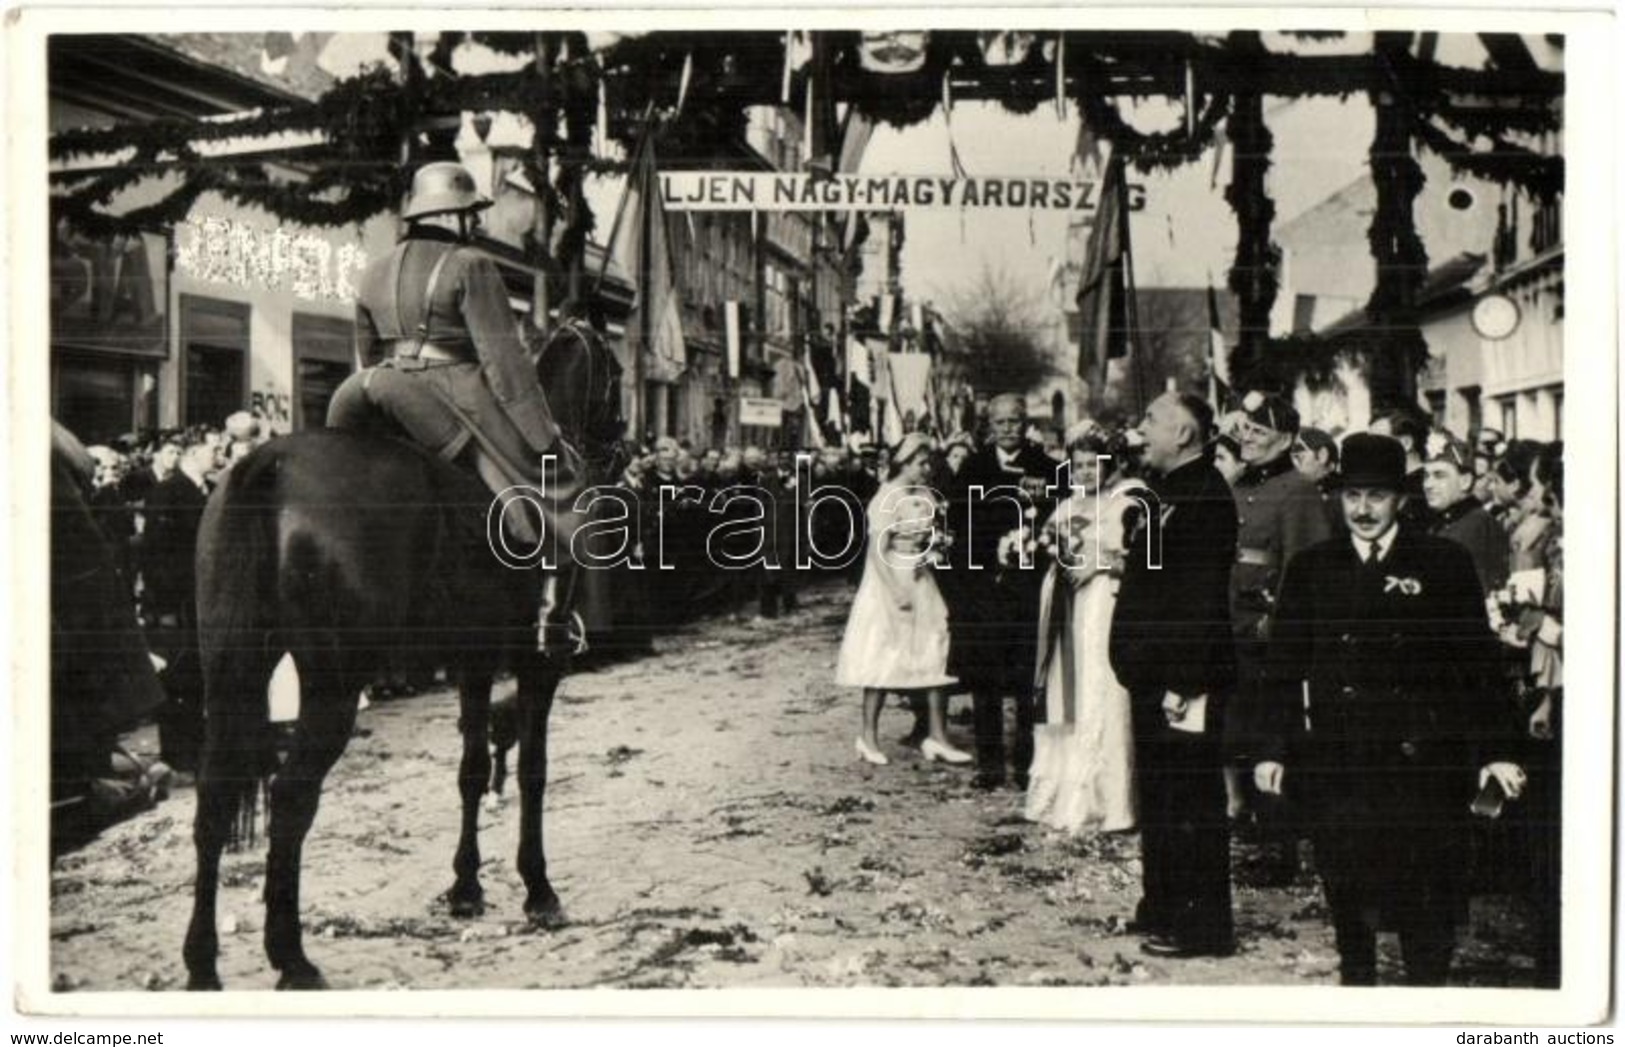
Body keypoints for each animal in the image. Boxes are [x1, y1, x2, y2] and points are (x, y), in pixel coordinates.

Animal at [182, 326, 620, 988]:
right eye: (615, 373)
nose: (619, 443)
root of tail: (269, 464)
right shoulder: (539, 664)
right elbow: (532, 770)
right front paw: (538, 889)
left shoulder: (474, 661)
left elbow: (472, 768)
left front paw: (465, 886)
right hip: (333, 685)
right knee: (290, 797)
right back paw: (291, 956)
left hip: (232, 672)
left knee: (212, 801)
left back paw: (202, 964)